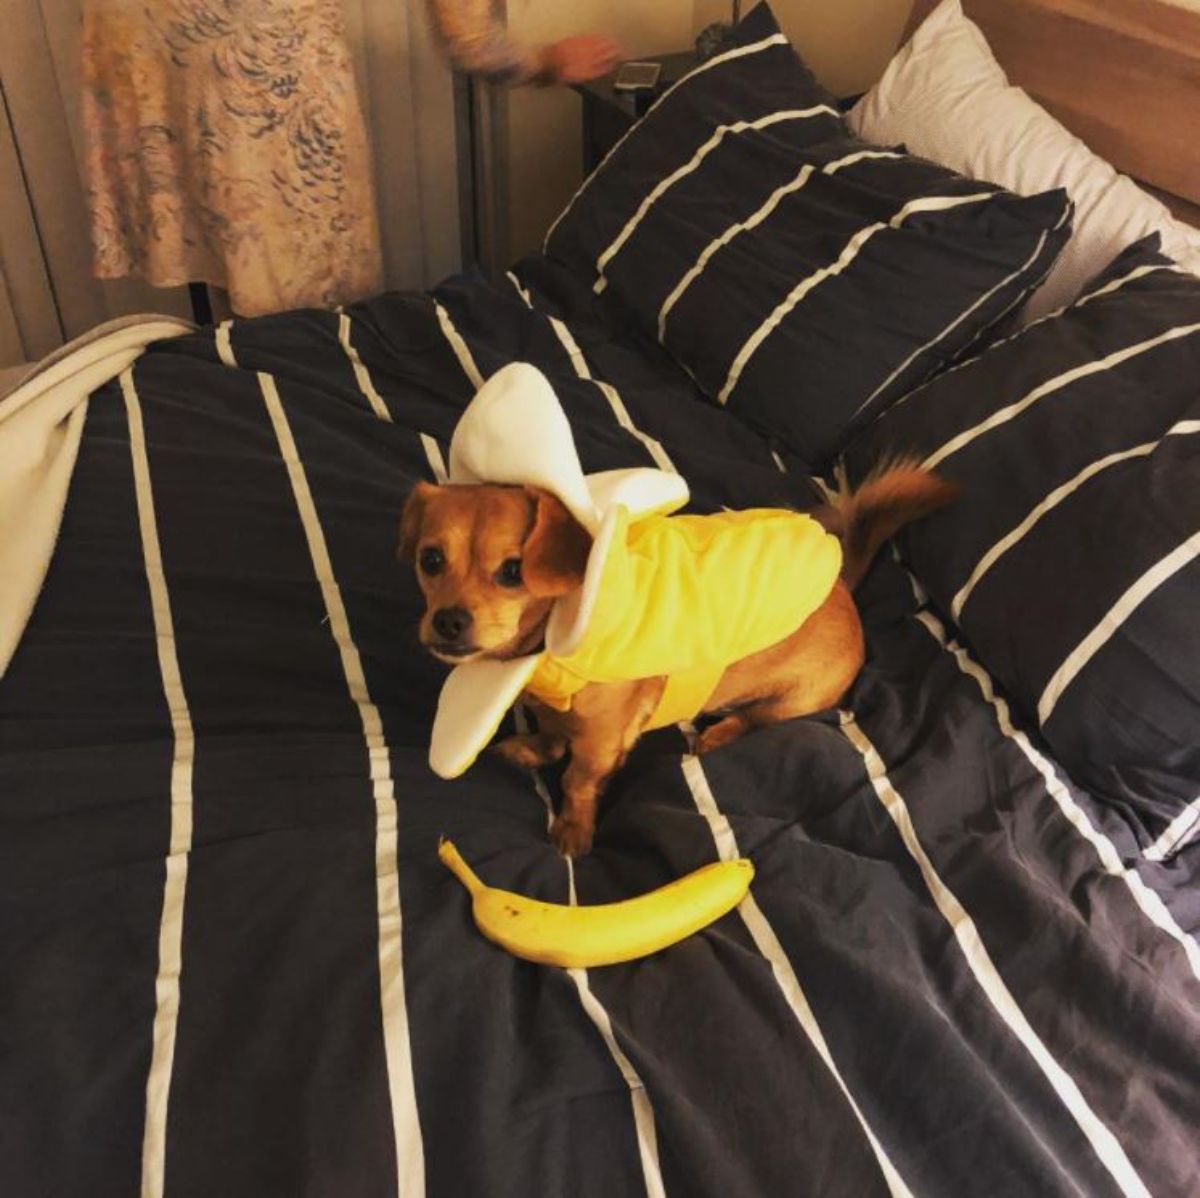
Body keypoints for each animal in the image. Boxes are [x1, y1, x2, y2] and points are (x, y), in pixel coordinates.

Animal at [403, 463, 955, 859]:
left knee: (754, 719)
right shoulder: (554, 710)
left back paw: (718, 733)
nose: (448, 621)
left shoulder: (602, 741)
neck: (551, 650)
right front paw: (534, 747)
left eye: (513, 572)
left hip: (792, 701)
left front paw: (573, 828)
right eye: (430, 560)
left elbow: (578, 779)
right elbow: (553, 734)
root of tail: (842, 587)